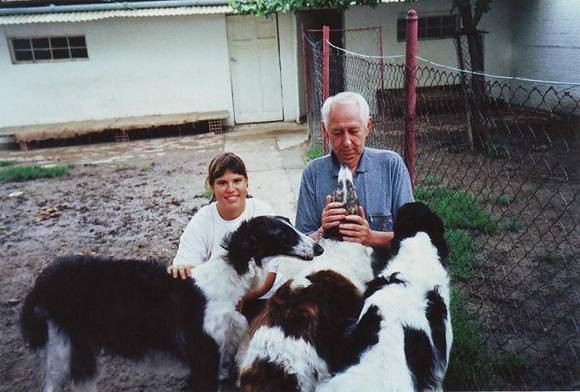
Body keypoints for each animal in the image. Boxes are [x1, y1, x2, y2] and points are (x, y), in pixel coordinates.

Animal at [20, 214, 324, 392]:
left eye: (290, 225)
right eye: (281, 232)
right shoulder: (204, 353)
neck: (224, 280)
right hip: (63, 346)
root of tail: (43, 279)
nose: (319, 247)